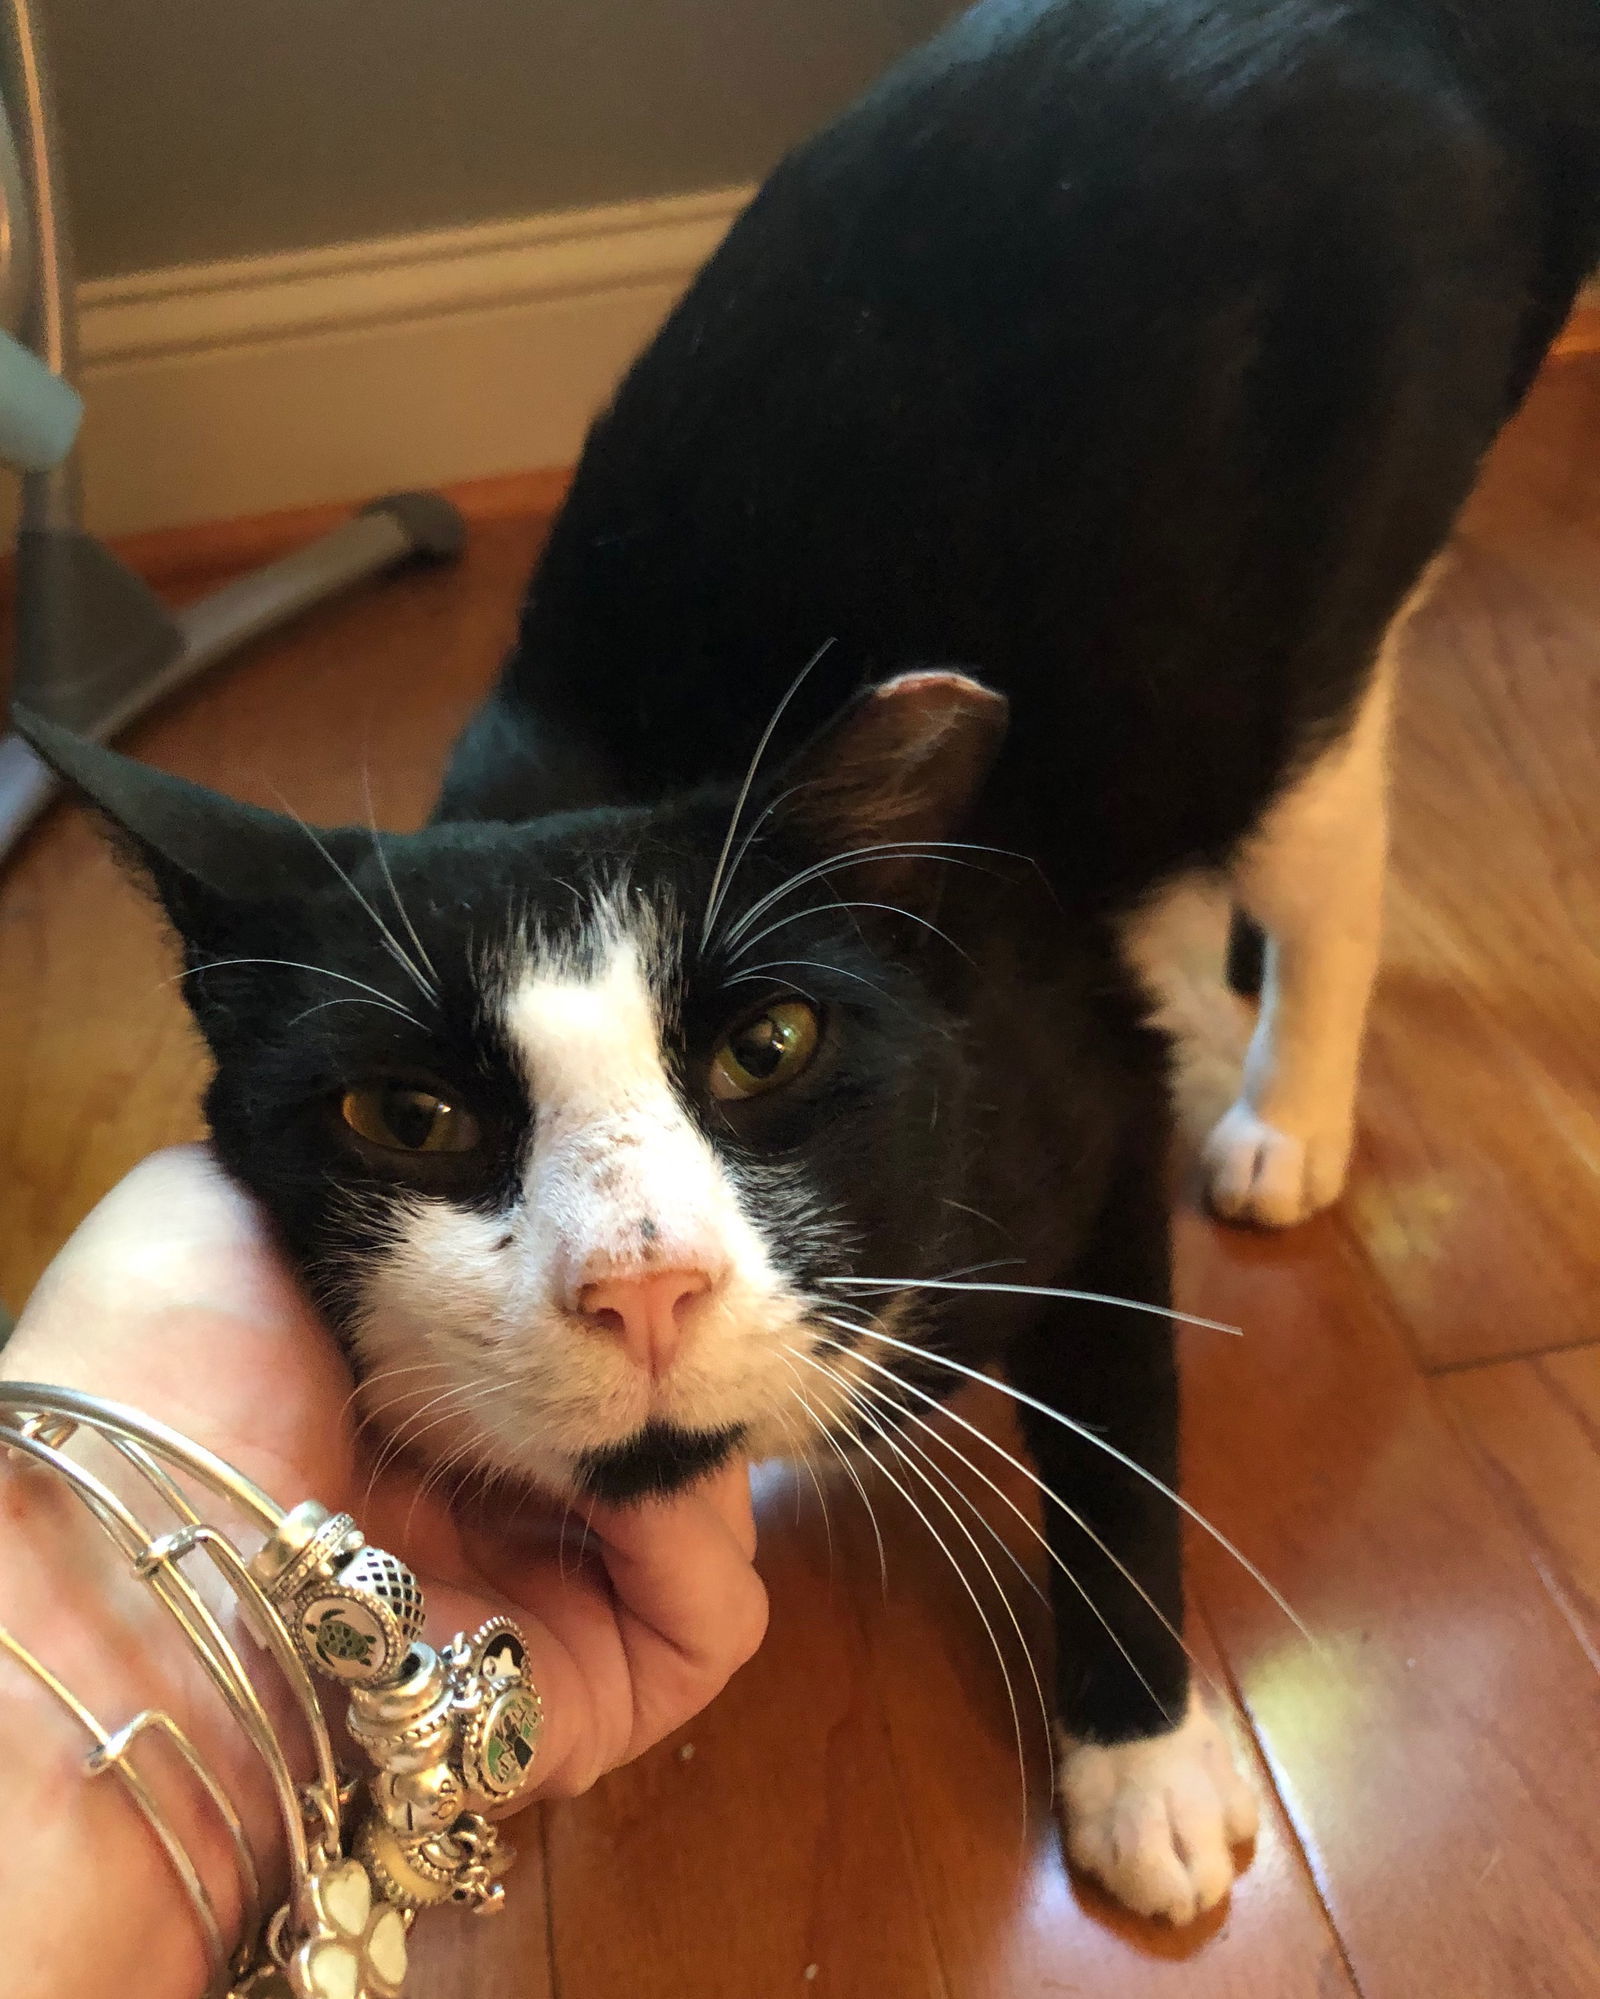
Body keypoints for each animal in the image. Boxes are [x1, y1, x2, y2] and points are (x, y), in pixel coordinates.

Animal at [15, 0, 1600, 1927]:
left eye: (767, 1044)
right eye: (405, 1114)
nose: (642, 1286)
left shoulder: (1077, 1092)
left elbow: (1117, 1425)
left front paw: (1144, 1755)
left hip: (1301, 604)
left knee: (1335, 825)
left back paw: (1286, 1109)